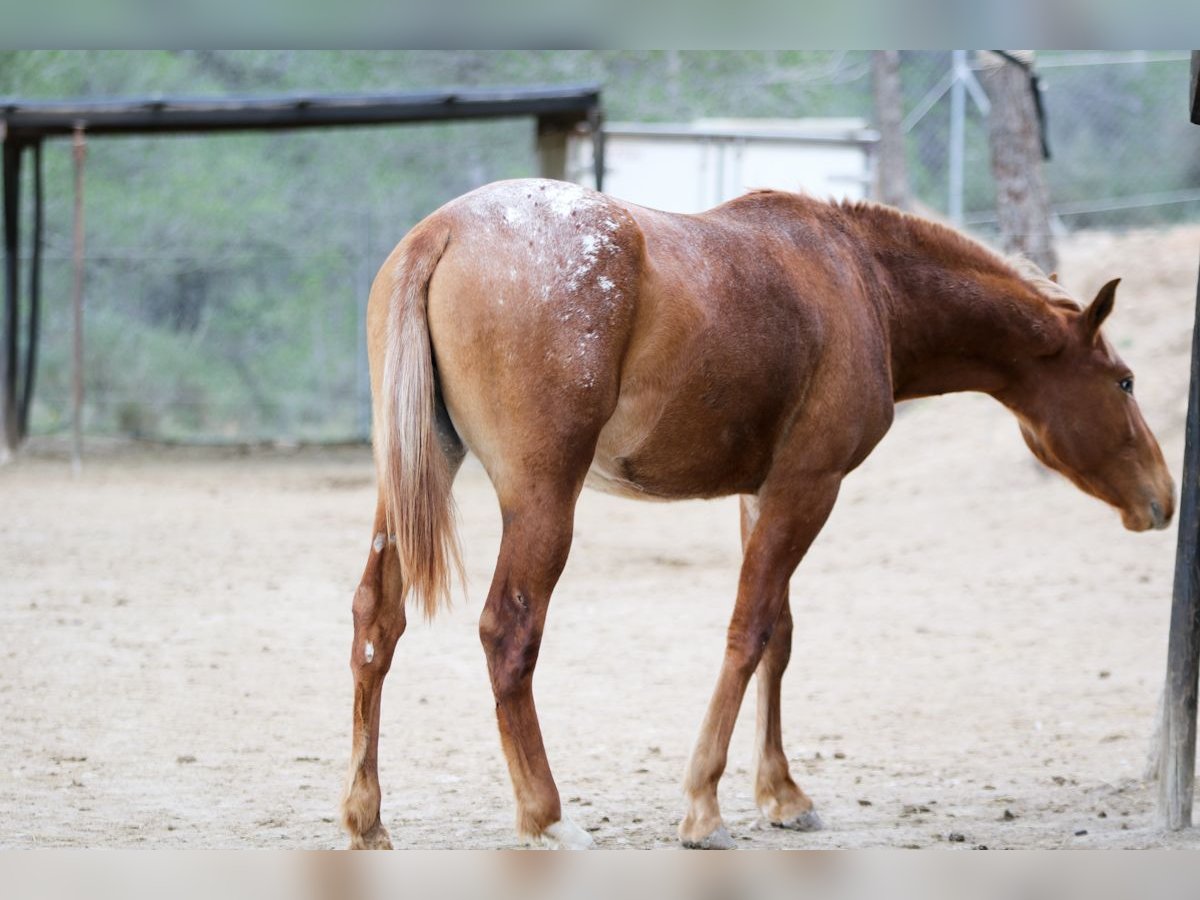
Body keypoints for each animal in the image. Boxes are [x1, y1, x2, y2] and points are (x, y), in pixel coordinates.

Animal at [338, 177, 1171, 854]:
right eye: (1126, 382)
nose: (1163, 496)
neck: (862, 278)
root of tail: (440, 234)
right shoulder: (809, 487)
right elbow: (750, 631)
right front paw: (704, 806)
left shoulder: (764, 493)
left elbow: (780, 636)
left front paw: (781, 794)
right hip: (543, 502)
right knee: (509, 635)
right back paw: (546, 818)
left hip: (411, 483)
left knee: (377, 621)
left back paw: (365, 817)